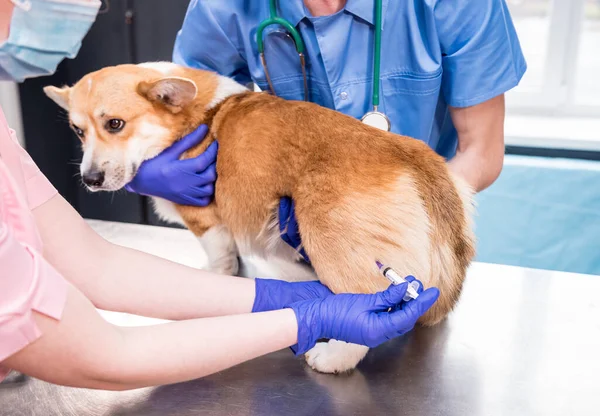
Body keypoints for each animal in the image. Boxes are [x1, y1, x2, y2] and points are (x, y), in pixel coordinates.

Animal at [44, 61, 476, 374]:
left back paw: (336, 356)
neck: (187, 120)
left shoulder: (208, 221)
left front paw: (215, 277)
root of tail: (410, 156)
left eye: (115, 124)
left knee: (369, 305)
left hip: (330, 237)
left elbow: (221, 258)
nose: (90, 180)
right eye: (78, 131)